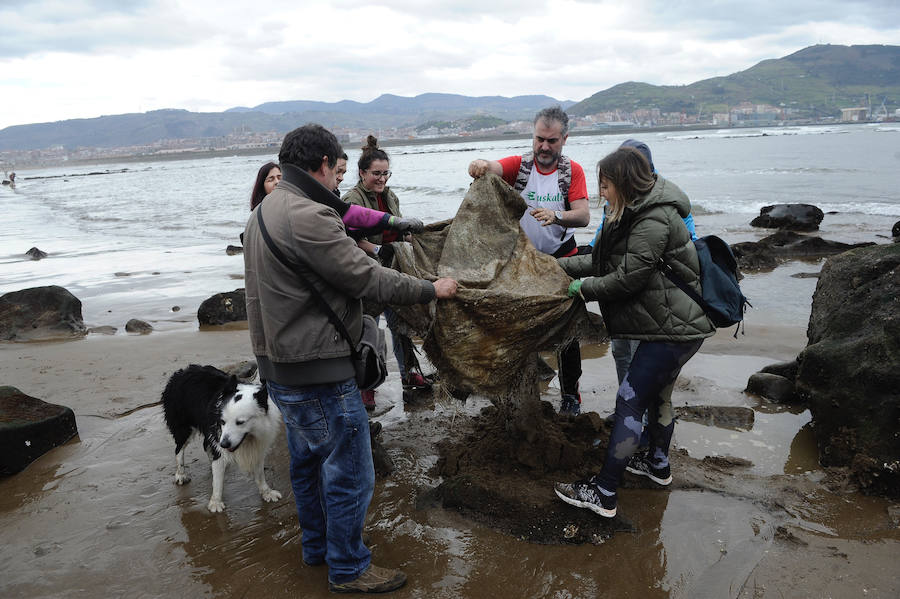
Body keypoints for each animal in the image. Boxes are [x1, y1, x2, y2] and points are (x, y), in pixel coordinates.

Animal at [162, 364, 282, 512]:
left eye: (240, 422)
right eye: (223, 421)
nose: (224, 444)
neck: (250, 438)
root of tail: (179, 373)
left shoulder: (258, 445)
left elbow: (260, 473)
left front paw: (267, 492)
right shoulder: (219, 438)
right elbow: (218, 479)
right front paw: (215, 502)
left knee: (205, 445)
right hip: (184, 428)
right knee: (179, 449)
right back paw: (181, 474)